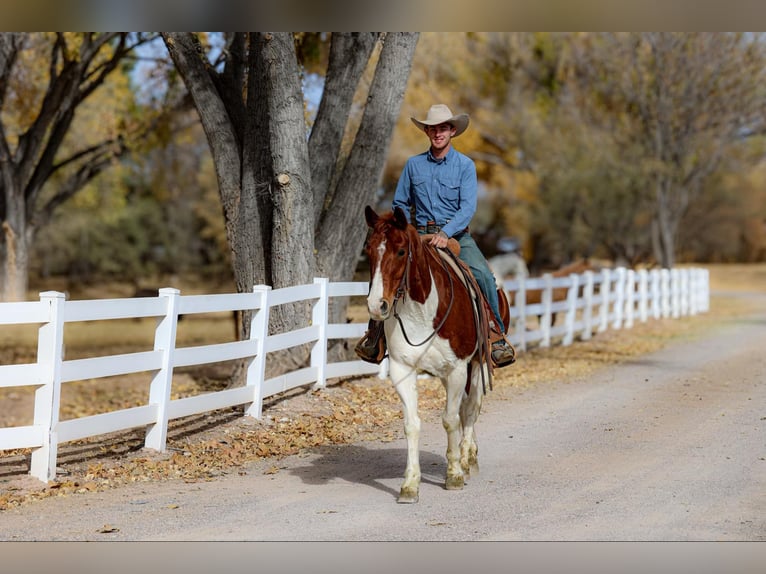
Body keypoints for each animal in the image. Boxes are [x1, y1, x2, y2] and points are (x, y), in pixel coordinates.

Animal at [363, 205, 510, 503]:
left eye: (401, 251)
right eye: (369, 250)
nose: (376, 305)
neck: (422, 310)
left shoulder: (457, 368)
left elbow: (450, 419)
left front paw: (454, 473)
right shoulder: (402, 369)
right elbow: (412, 424)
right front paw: (410, 485)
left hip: (477, 364)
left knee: (470, 408)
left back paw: (467, 458)